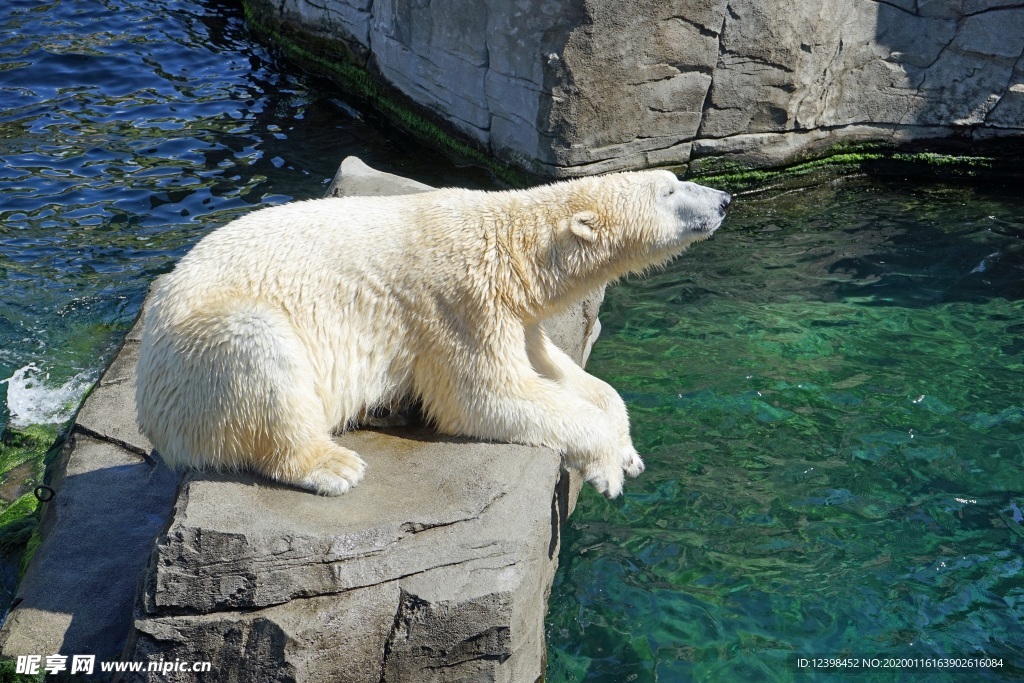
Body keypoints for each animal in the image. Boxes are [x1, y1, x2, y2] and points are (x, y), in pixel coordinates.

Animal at [134, 172, 729, 497]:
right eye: (670, 189)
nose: (724, 200)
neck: (510, 246)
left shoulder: (512, 313)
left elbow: (562, 373)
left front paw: (627, 451)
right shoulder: (458, 303)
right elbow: (484, 396)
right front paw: (607, 467)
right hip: (201, 352)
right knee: (260, 351)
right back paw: (333, 465)